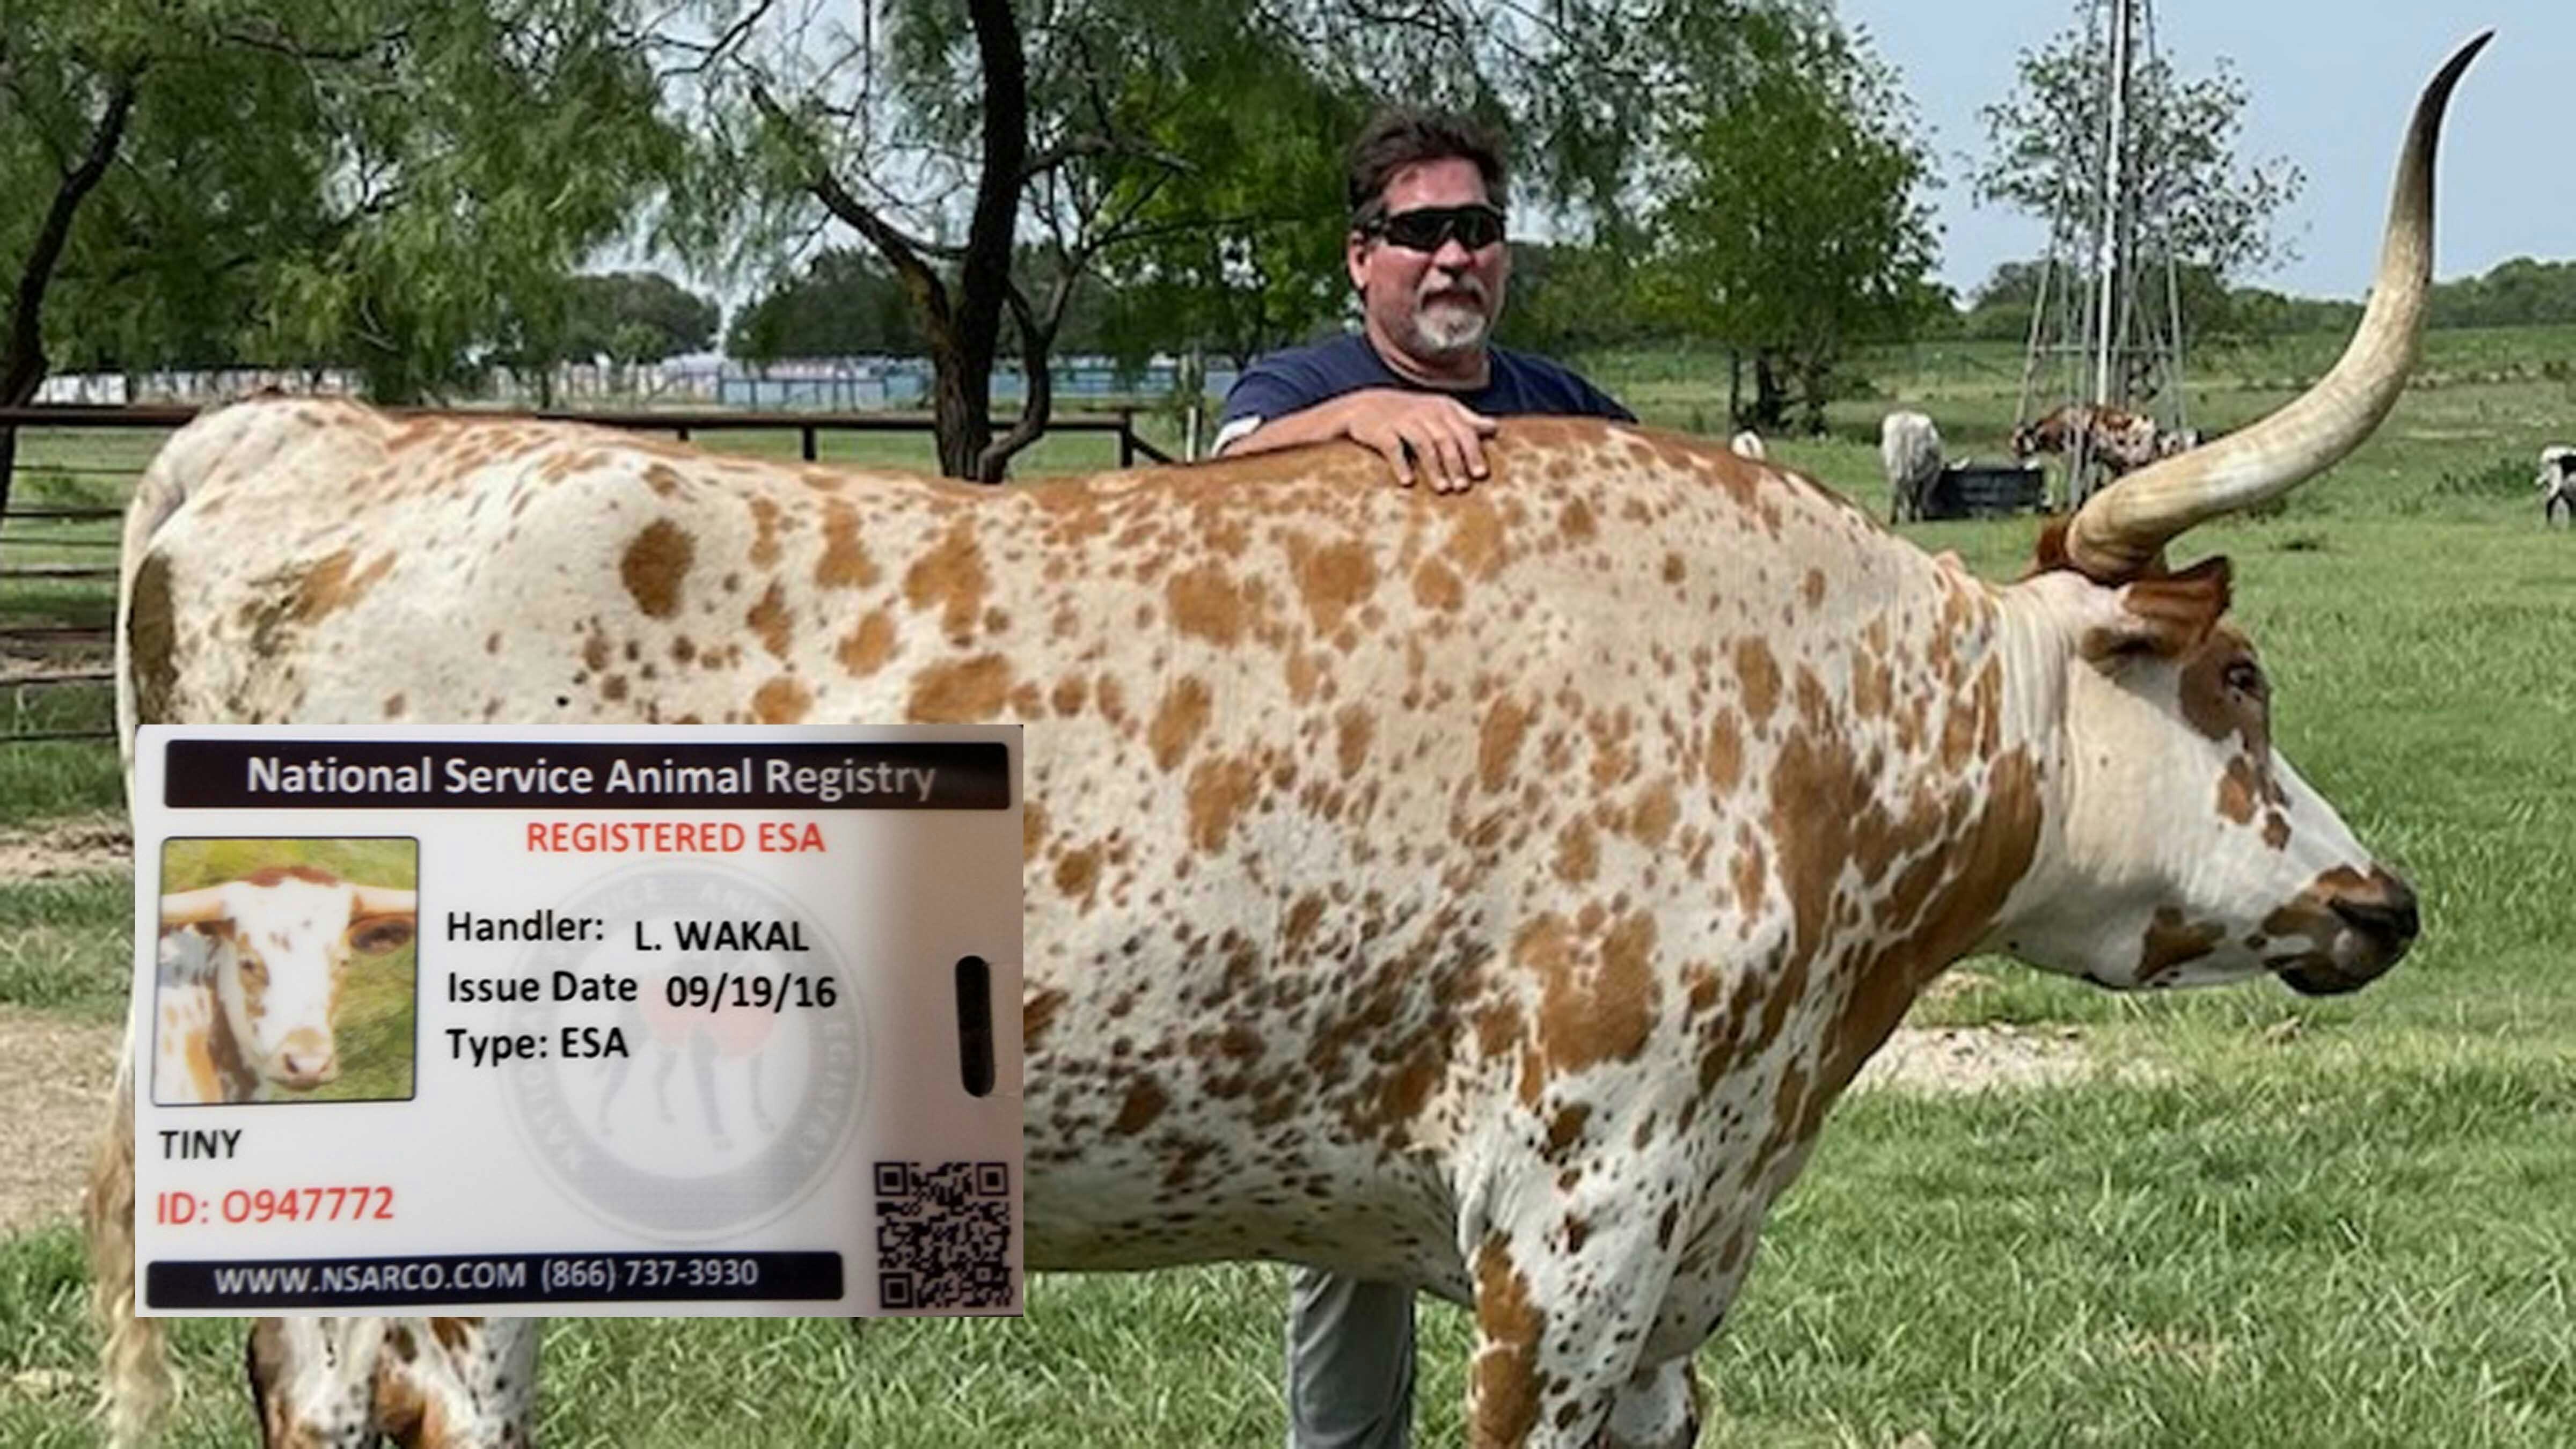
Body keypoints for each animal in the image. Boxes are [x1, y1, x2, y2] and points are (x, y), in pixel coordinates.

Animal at [91, 36, 2483, 1444]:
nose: (2382, 898)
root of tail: (298, 434)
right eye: (2238, 688)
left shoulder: (1676, 1271)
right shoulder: (1574, 1232)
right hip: (451, 1249)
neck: (1822, 727)